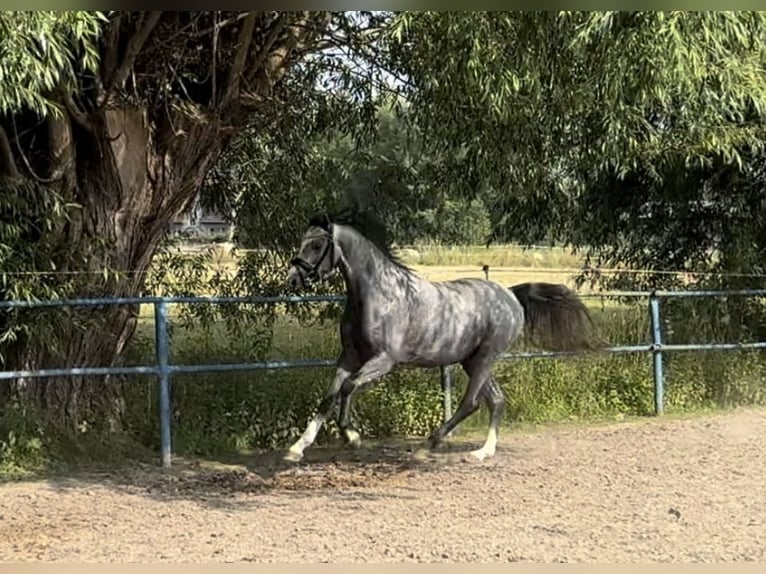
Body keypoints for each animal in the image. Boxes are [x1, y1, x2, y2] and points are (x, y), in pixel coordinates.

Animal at [284, 212, 608, 464]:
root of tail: (511, 295)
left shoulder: (383, 360)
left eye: (317, 244)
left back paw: (426, 447)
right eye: (302, 240)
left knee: (471, 403)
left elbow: (348, 388)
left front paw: (352, 436)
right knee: (496, 399)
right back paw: (482, 452)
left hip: (485, 358)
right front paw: (296, 449)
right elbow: (328, 397)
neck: (378, 295)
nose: (292, 280)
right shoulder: (349, 356)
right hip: (471, 360)